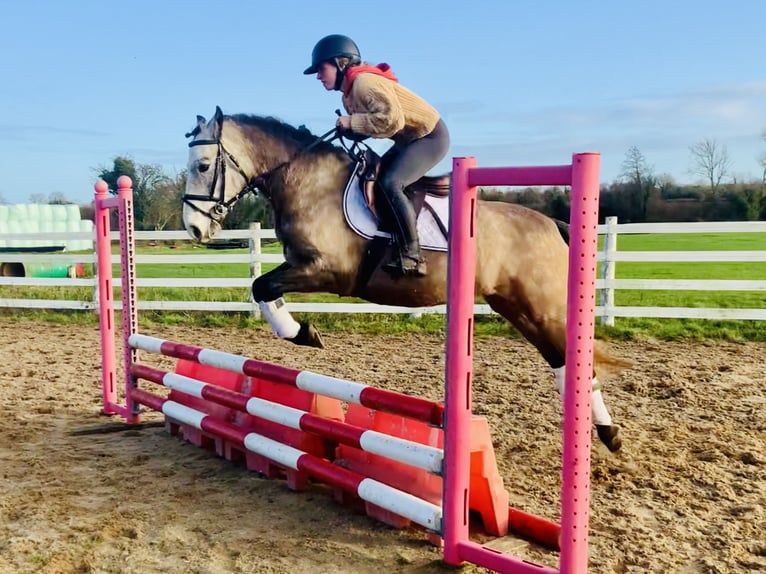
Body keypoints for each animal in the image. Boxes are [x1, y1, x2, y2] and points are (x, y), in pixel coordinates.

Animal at [184, 106, 632, 452]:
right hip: (516, 306)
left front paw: (304, 333)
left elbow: (262, 286)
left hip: (540, 306)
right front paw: (301, 331)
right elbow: (264, 288)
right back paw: (606, 434)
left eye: (203, 166)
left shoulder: (328, 270)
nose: (193, 229)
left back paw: (606, 434)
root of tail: (551, 223)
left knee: (574, 361)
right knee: (561, 361)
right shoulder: (302, 266)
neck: (307, 181)